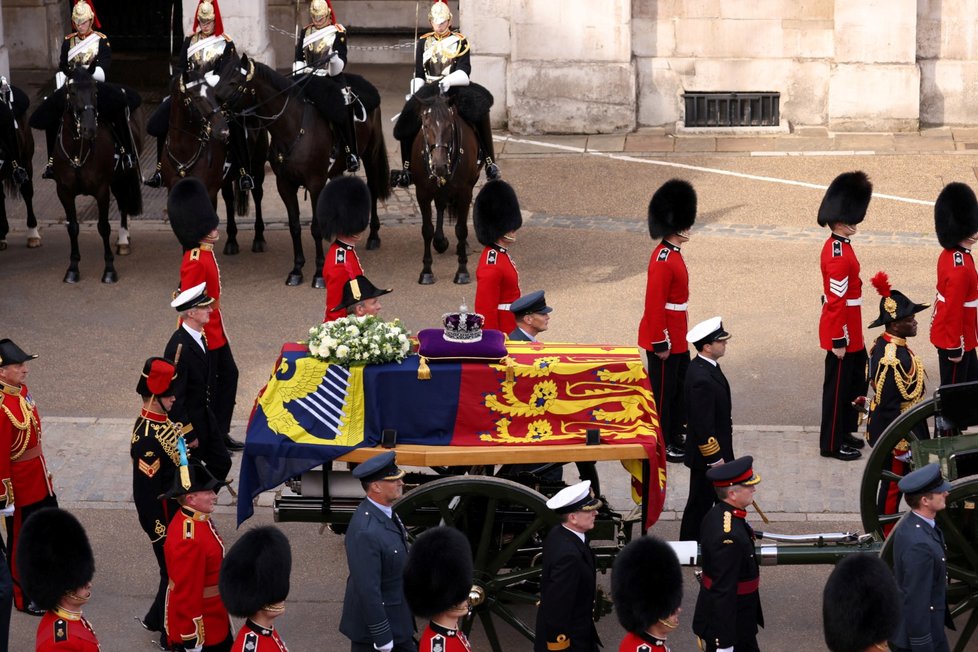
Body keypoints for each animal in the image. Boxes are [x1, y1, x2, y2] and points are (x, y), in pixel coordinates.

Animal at [52, 68, 142, 282]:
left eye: (95, 91)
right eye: (72, 92)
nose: (89, 129)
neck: (78, 152)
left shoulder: (102, 190)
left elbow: (103, 227)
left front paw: (109, 269)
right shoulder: (64, 192)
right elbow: (72, 227)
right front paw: (73, 268)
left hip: (121, 177)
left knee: (123, 204)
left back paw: (124, 240)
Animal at [214, 54, 388, 290]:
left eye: (234, 82)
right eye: (220, 76)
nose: (213, 112)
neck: (292, 127)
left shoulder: (314, 182)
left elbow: (314, 227)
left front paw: (319, 273)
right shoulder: (285, 184)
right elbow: (295, 226)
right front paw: (297, 269)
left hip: (370, 154)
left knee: (372, 188)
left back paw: (373, 236)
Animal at [410, 91, 478, 282]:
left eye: (449, 125)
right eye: (426, 125)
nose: (439, 166)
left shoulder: (465, 192)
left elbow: (461, 229)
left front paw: (462, 271)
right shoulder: (422, 193)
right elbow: (427, 230)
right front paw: (426, 271)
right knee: (440, 206)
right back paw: (440, 241)